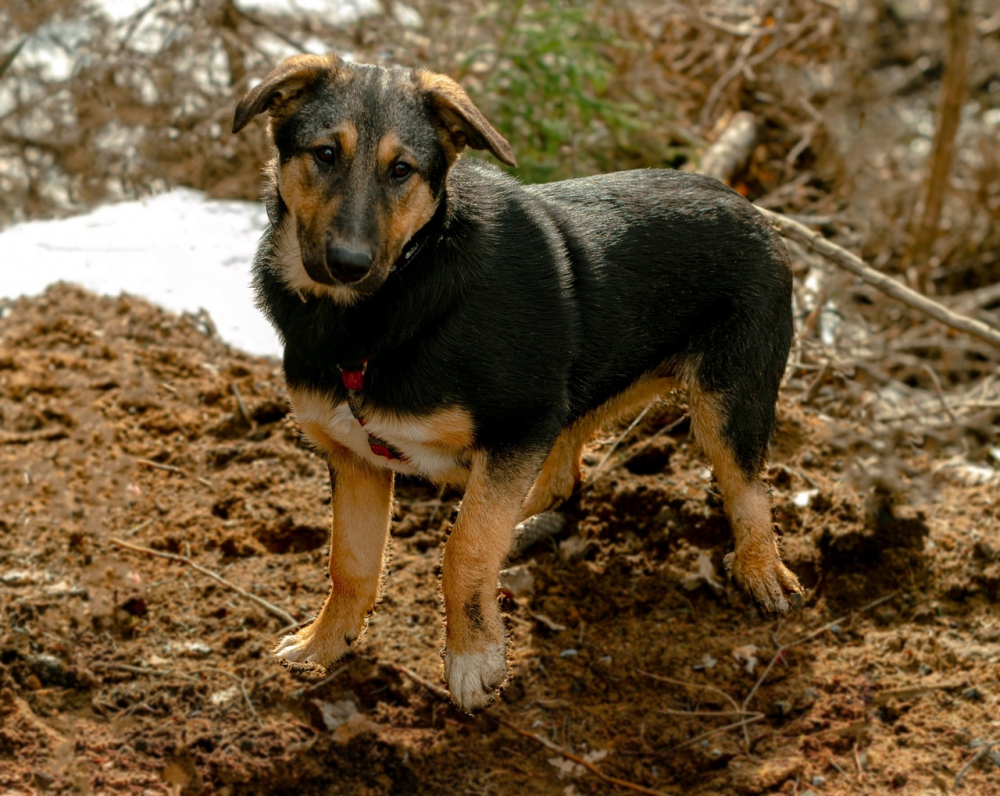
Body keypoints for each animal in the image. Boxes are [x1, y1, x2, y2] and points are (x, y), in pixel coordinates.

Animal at [232, 52, 804, 712]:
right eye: (325, 154)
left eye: (401, 170)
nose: (349, 264)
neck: (391, 299)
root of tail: (746, 203)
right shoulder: (356, 456)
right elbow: (350, 563)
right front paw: (324, 644)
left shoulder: (519, 424)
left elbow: (466, 550)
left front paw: (474, 660)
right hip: (580, 387)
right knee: (559, 476)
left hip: (727, 398)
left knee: (747, 487)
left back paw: (762, 571)